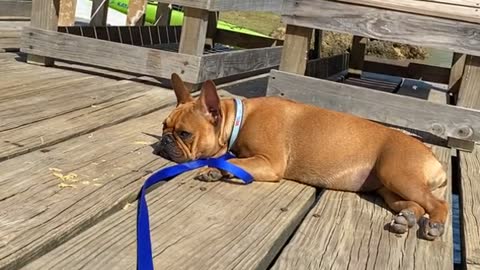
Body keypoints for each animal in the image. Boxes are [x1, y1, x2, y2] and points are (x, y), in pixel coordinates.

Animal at [158, 73, 450, 240]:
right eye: (164, 126)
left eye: (184, 133)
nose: (164, 141)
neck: (240, 119)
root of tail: (433, 158)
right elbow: (231, 159)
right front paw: (215, 168)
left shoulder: (269, 162)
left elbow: (234, 160)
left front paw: (216, 167)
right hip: (389, 189)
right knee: (416, 204)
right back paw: (406, 218)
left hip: (398, 174)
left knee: (438, 204)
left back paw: (434, 225)